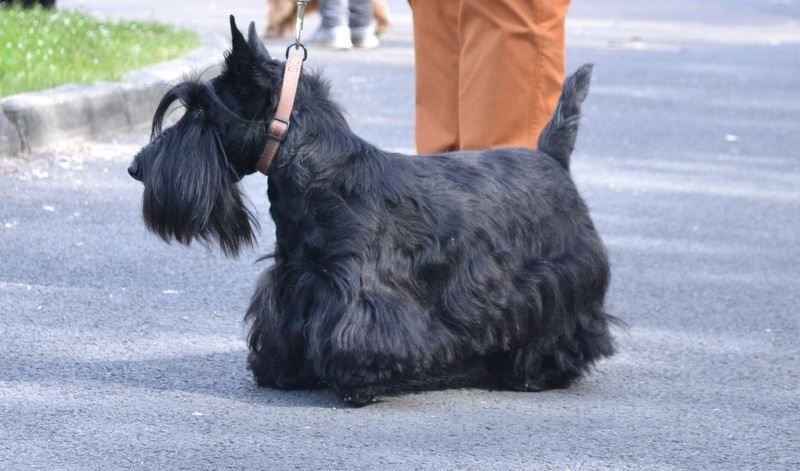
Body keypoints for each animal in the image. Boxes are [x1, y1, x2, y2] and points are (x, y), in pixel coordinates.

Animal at [128, 17, 616, 405]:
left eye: (200, 112)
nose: (136, 167)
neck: (321, 173)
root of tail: (552, 157)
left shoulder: (358, 287)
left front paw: (360, 381)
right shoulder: (293, 278)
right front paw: (284, 370)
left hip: (556, 278)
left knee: (565, 325)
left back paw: (538, 370)